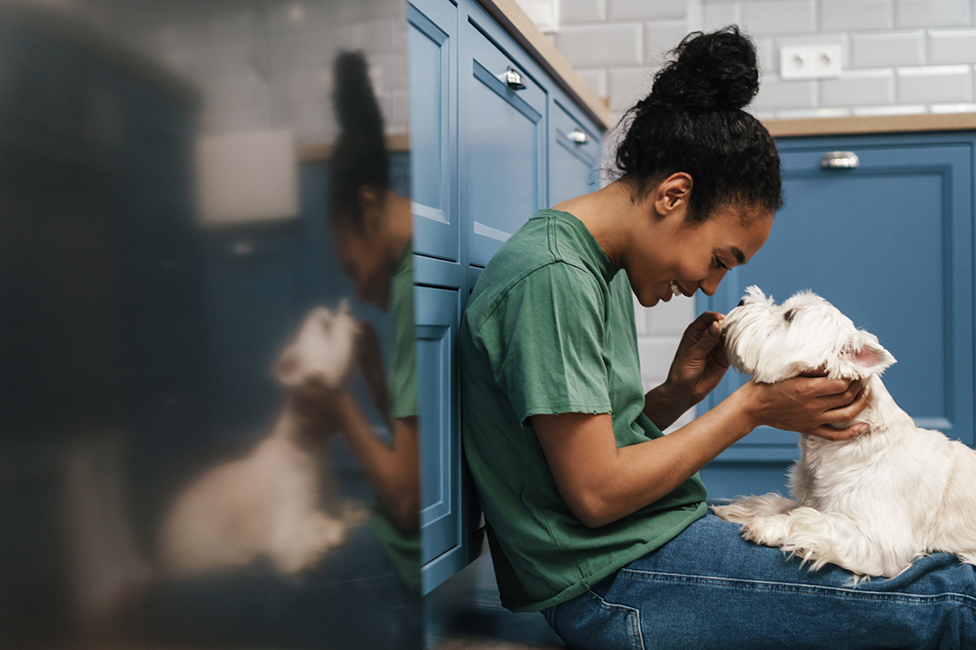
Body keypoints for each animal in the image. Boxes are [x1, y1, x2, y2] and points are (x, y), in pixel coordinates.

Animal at [160, 302, 366, 576]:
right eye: (326, 325)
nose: (348, 311)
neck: (310, 449)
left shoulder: (331, 500)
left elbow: (340, 511)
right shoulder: (290, 533)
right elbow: (310, 536)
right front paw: (327, 535)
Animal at [708, 288, 976, 576]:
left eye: (789, 315)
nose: (741, 301)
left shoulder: (881, 541)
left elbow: (809, 519)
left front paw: (766, 526)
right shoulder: (816, 499)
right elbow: (782, 504)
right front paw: (739, 509)